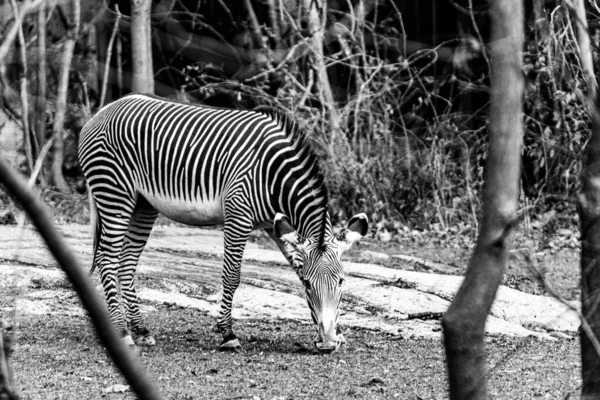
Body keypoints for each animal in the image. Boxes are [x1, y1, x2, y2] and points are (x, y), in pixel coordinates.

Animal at [76, 92, 366, 352]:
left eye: (342, 281)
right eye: (308, 284)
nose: (327, 344)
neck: (274, 176)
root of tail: (103, 111)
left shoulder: (276, 226)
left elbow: (296, 266)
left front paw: (334, 333)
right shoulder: (238, 215)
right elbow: (232, 276)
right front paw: (227, 334)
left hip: (143, 204)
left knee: (126, 262)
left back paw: (140, 329)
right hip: (114, 192)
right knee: (107, 259)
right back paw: (123, 332)